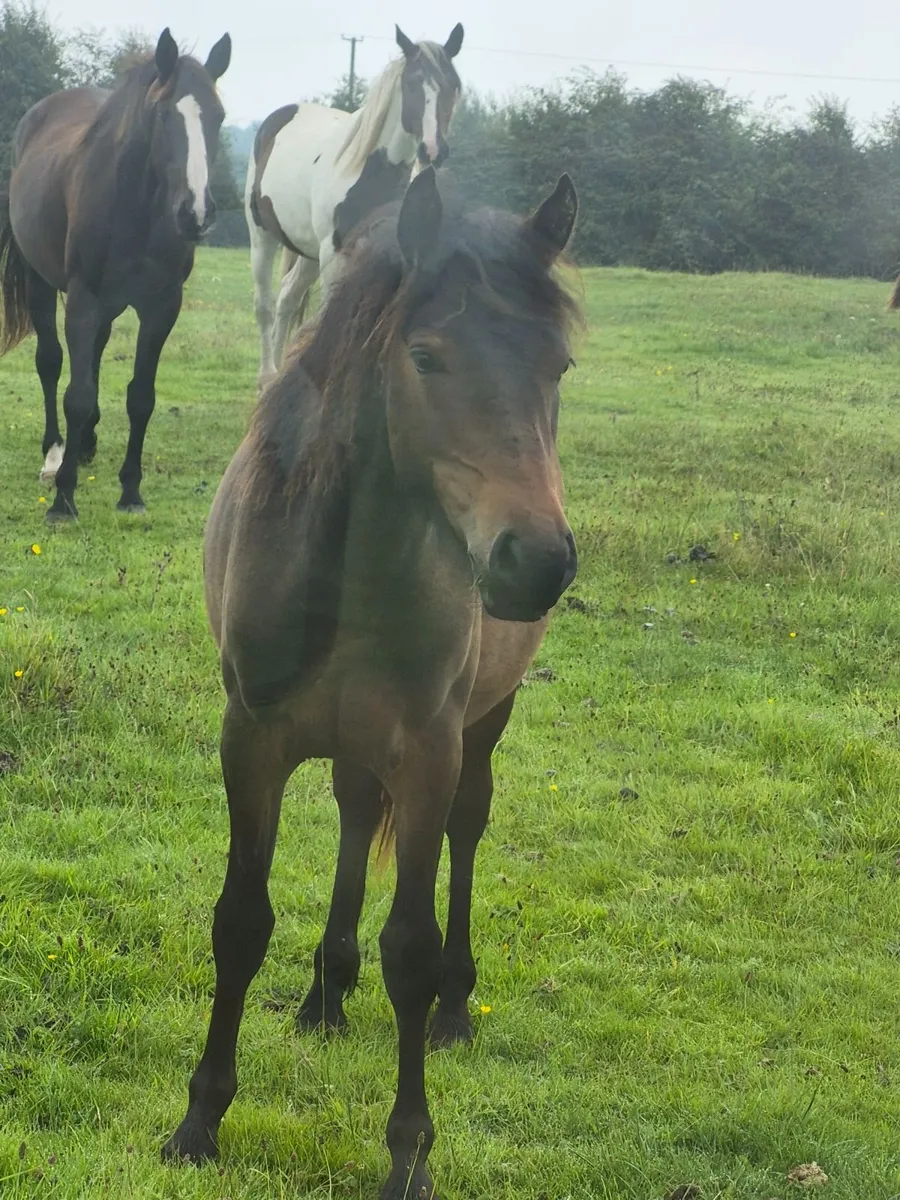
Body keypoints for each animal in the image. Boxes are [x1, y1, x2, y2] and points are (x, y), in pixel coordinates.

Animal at [0, 27, 231, 522]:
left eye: (219, 116)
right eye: (163, 114)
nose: (196, 214)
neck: (137, 208)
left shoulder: (162, 306)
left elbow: (140, 396)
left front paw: (131, 493)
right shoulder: (83, 298)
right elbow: (77, 394)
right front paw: (63, 500)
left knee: (95, 357)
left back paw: (85, 445)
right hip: (43, 285)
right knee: (51, 364)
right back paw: (56, 455)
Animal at [162, 164, 580, 1199]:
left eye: (558, 367)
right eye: (426, 357)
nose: (535, 562)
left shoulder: (427, 753)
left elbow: (413, 950)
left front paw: (409, 1154)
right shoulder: (252, 738)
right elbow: (240, 921)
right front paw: (199, 1121)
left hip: (482, 725)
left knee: (466, 831)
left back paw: (455, 1011)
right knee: (356, 812)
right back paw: (325, 993)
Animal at [245, 22, 464, 389]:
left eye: (452, 86)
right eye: (412, 82)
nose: (433, 150)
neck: (370, 169)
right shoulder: (334, 253)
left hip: (308, 252)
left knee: (288, 298)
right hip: (265, 238)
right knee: (265, 304)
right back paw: (267, 376)